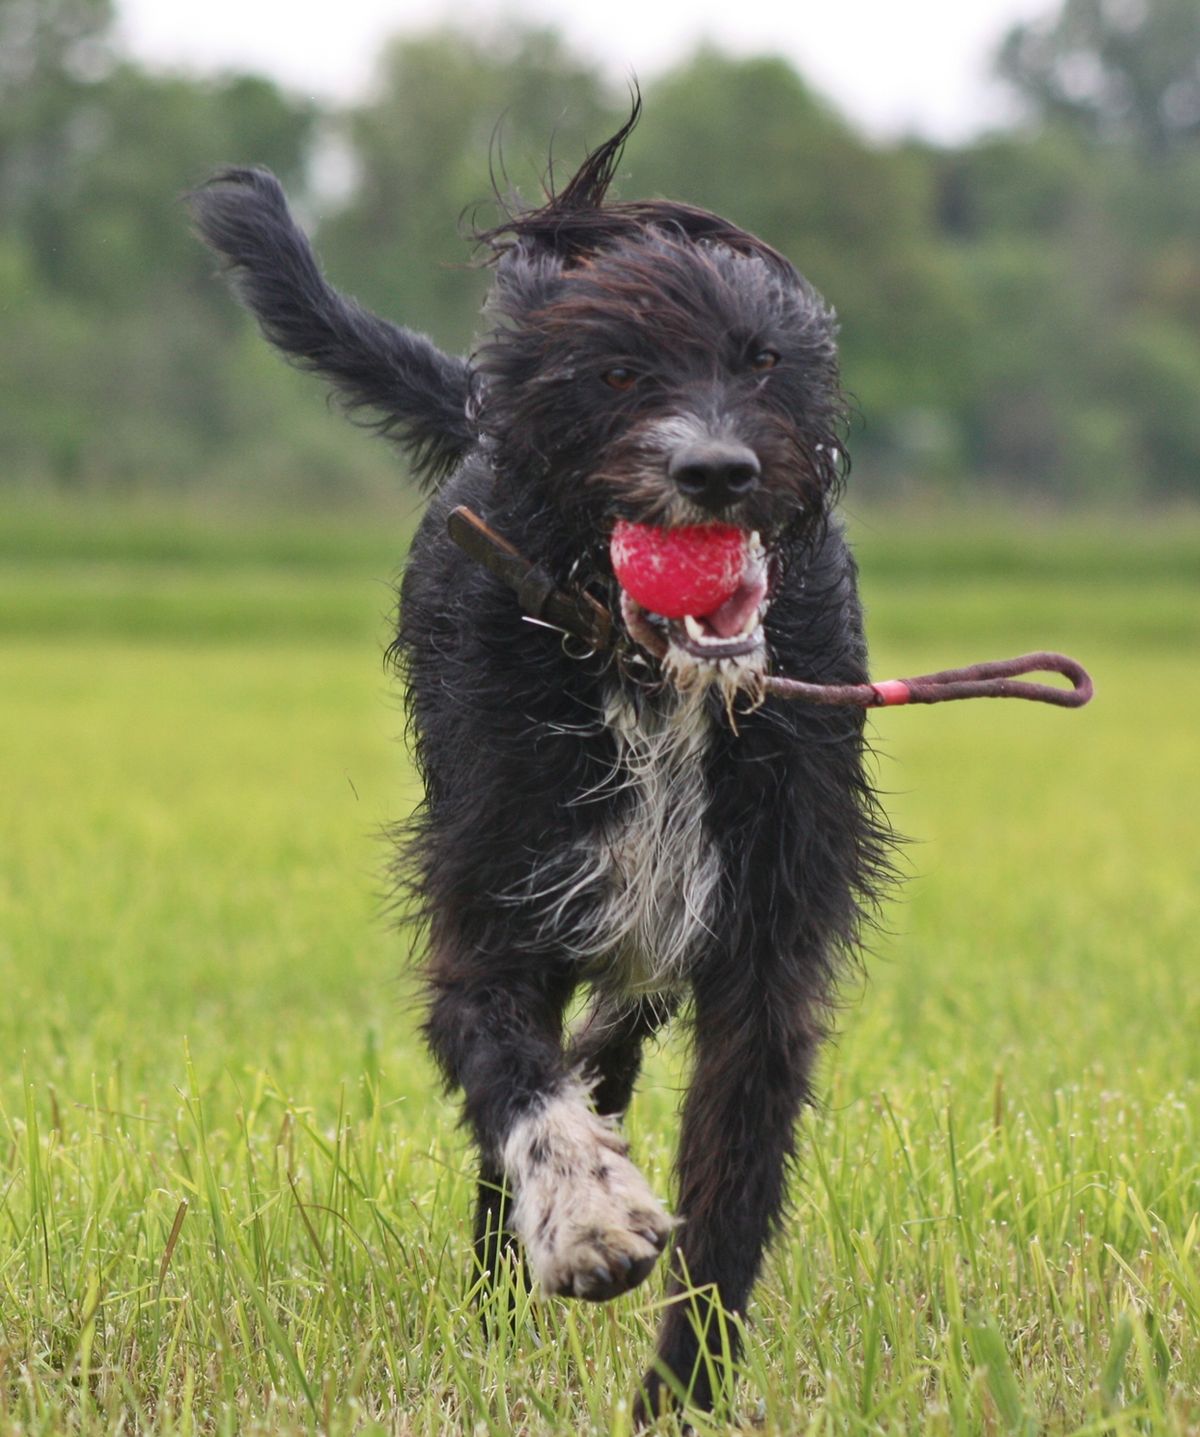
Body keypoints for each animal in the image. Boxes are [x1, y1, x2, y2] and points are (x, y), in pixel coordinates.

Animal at [192, 106, 896, 1419]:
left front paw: (681, 1400)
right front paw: (584, 1219)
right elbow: (512, 1075)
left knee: (605, 1052)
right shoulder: (494, 907)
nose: (717, 470)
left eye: (761, 360)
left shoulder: (764, 948)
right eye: (617, 373)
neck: (650, 679)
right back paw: (499, 1297)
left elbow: (731, 1196)